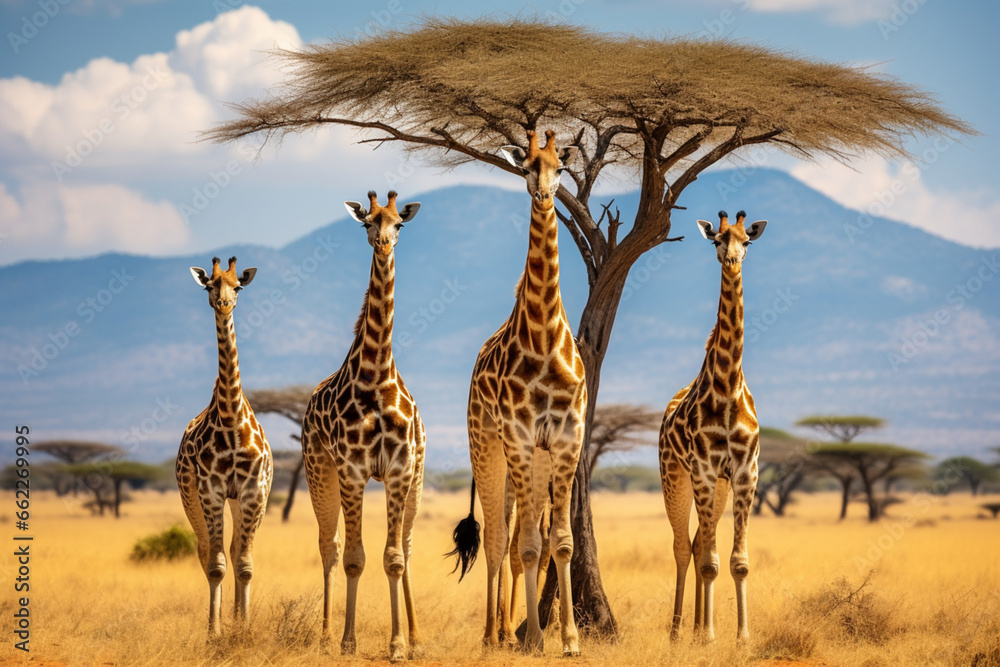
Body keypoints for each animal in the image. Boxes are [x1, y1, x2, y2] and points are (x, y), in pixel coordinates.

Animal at [176, 256, 273, 636]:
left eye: (238, 286)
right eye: (209, 285)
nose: (224, 303)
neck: (231, 420)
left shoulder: (252, 491)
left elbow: (244, 563)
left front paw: (242, 627)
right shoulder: (211, 490)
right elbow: (216, 564)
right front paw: (214, 632)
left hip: (241, 500)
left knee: (234, 551)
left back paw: (235, 617)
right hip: (190, 496)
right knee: (207, 552)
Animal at [301, 190, 425, 661]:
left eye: (399, 223)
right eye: (366, 221)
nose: (384, 243)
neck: (375, 376)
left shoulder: (400, 471)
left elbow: (394, 557)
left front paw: (400, 644)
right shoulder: (353, 471)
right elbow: (355, 557)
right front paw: (348, 640)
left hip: (415, 479)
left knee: (406, 545)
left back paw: (417, 635)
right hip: (319, 471)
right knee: (329, 546)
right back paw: (323, 634)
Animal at [450, 129, 585, 656]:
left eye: (559, 168)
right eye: (527, 165)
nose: (544, 195)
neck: (545, 339)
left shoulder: (566, 441)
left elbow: (559, 542)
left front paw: (569, 640)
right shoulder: (521, 439)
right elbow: (526, 545)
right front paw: (535, 640)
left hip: (531, 462)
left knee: (514, 540)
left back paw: (509, 630)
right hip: (488, 447)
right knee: (495, 539)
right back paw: (494, 634)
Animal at [658, 210, 768, 642]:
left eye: (747, 240)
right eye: (717, 241)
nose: (732, 260)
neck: (727, 386)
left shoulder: (745, 473)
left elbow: (738, 562)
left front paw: (742, 638)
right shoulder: (703, 471)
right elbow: (709, 561)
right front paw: (707, 638)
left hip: (717, 486)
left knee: (698, 543)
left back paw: (696, 628)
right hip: (675, 477)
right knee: (683, 547)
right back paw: (678, 632)